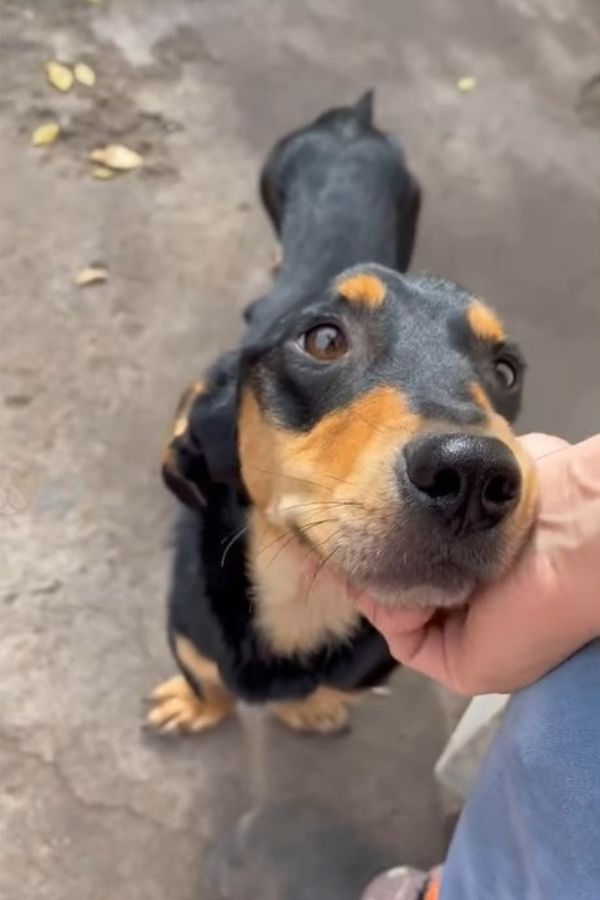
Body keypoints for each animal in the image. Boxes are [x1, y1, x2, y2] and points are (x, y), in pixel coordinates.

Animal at [148, 95, 536, 736]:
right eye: (324, 340)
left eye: (506, 371)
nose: (473, 475)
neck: (305, 600)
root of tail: (355, 118)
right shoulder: (191, 639)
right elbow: (209, 682)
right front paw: (196, 705)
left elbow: (324, 690)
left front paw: (313, 706)